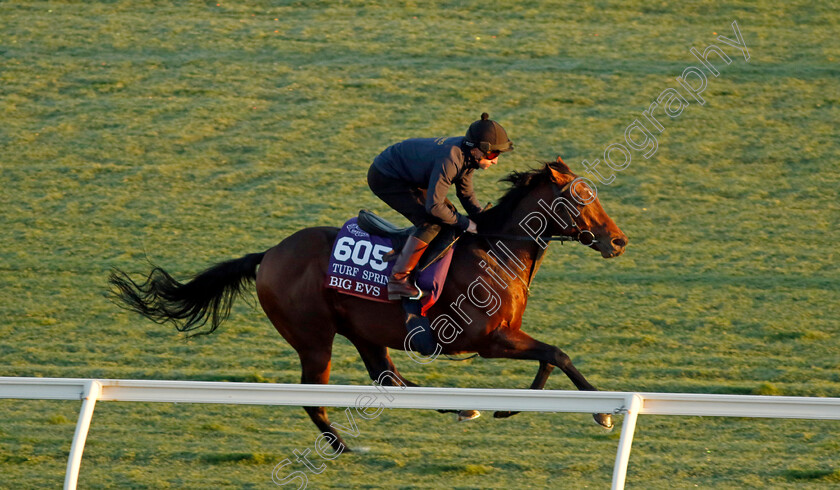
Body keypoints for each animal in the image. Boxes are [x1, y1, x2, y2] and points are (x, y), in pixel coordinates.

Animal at [110, 158, 624, 452]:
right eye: (582, 196)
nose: (618, 241)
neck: (495, 250)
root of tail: (269, 254)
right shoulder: (487, 339)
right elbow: (557, 353)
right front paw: (597, 410)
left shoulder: (502, 337)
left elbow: (551, 356)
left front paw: (515, 408)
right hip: (313, 338)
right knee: (314, 395)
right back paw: (340, 446)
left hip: (363, 333)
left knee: (387, 378)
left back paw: (459, 408)